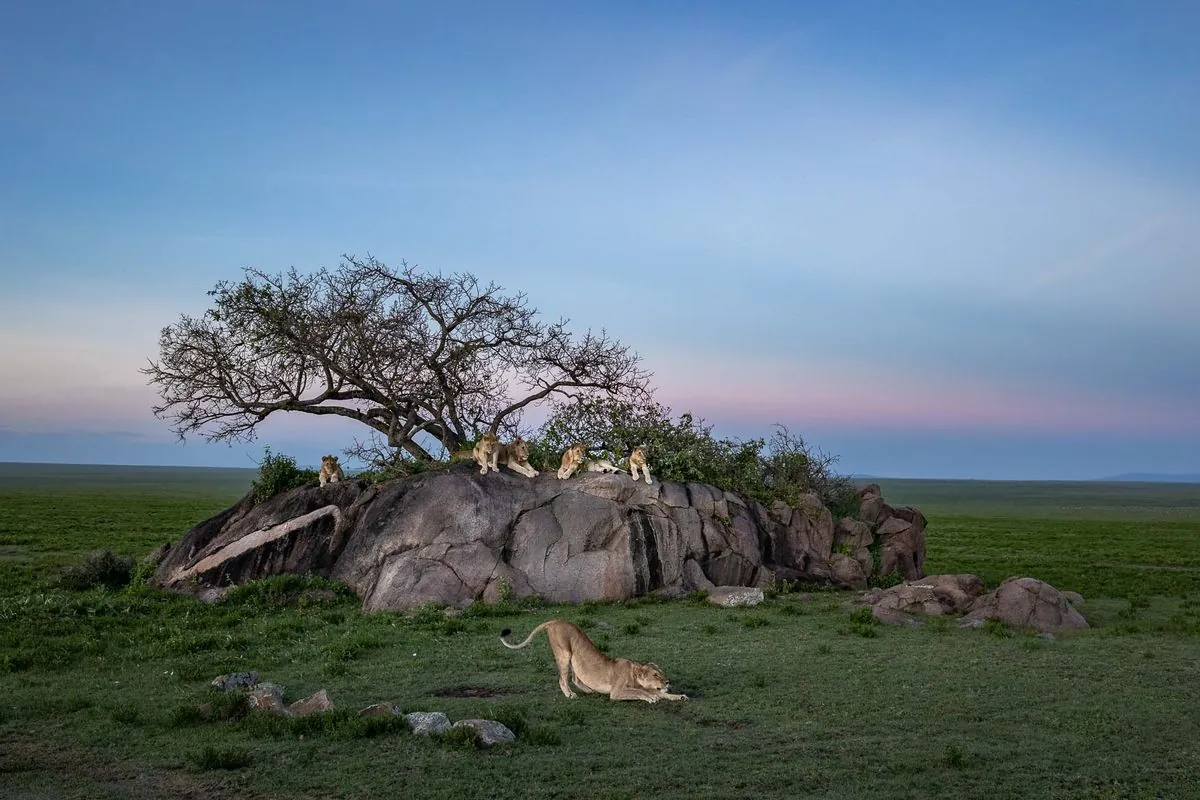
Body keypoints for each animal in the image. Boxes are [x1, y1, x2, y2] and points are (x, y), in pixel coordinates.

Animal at [496, 623, 686, 705]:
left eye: (661, 672)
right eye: (655, 674)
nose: (668, 681)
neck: (633, 672)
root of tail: (554, 621)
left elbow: (660, 693)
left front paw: (680, 696)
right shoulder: (616, 692)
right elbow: (638, 692)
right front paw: (651, 698)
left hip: (575, 657)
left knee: (576, 678)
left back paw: (589, 690)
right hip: (565, 653)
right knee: (562, 679)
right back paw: (570, 695)